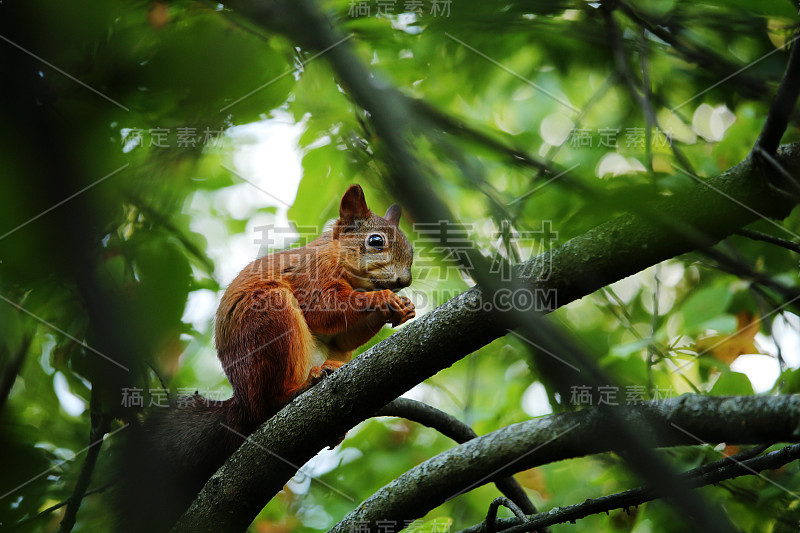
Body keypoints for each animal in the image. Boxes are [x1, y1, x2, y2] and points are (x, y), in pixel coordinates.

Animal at [115, 185, 416, 528]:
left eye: (411, 250)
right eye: (375, 241)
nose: (405, 281)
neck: (336, 258)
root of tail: (243, 402)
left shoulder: (341, 332)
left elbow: (343, 334)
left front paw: (404, 308)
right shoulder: (311, 276)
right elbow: (325, 308)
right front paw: (384, 298)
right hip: (270, 319)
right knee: (271, 401)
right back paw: (304, 385)